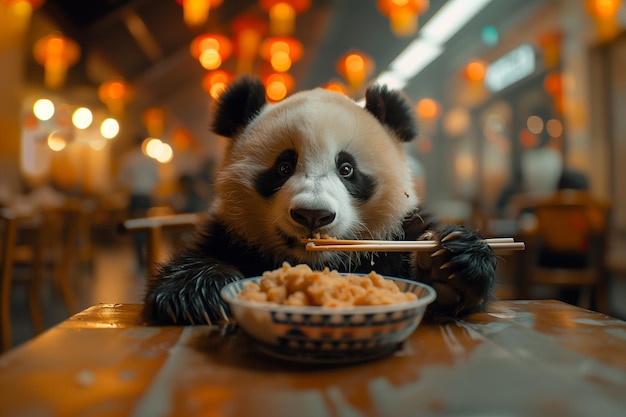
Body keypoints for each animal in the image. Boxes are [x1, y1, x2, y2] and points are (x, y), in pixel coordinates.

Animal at [140, 77, 492, 324]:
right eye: (283, 167)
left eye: (347, 168)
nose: (312, 214)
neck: (320, 262)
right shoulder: (229, 232)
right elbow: (198, 257)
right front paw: (196, 293)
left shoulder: (399, 232)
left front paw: (449, 267)